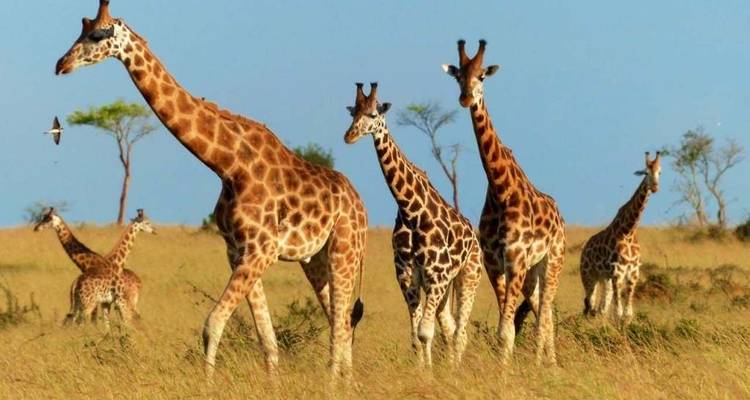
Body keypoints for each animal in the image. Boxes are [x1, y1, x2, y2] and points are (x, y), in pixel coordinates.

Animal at [55, 0, 368, 378]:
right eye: (81, 31)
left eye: (98, 35)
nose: (61, 64)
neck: (227, 165)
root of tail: (361, 205)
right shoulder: (238, 251)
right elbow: (267, 340)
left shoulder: (261, 249)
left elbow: (213, 323)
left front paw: (208, 382)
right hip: (315, 259)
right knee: (342, 322)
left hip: (344, 250)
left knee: (341, 324)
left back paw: (334, 382)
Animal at [344, 83, 482, 366]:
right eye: (353, 113)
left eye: (373, 114)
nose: (349, 136)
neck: (413, 212)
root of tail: (474, 237)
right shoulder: (408, 275)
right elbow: (416, 335)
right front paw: (423, 370)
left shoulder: (436, 274)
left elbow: (425, 332)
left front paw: (428, 373)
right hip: (445, 287)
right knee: (450, 327)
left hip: (468, 276)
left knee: (460, 332)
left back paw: (456, 369)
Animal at [443, 40, 566, 365]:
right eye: (458, 76)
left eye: (482, 76)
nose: (465, 98)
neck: (501, 189)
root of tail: (560, 218)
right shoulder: (494, 263)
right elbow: (507, 328)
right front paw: (505, 370)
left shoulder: (515, 260)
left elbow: (505, 330)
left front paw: (505, 372)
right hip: (530, 274)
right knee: (543, 315)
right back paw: (547, 364)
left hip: (552, 262)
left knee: (545, 316)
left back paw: (546, 365)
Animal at [580, 151, 661, 324]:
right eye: (645, 172)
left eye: (660, 172)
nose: (655, 187)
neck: (628, 231)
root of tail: (585, 248)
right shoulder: (618, 272)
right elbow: (618, 312)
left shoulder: (633, 272)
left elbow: (627, 313)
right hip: (588, 276)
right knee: (589, 306)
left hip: (605, 279)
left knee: (599, 309)